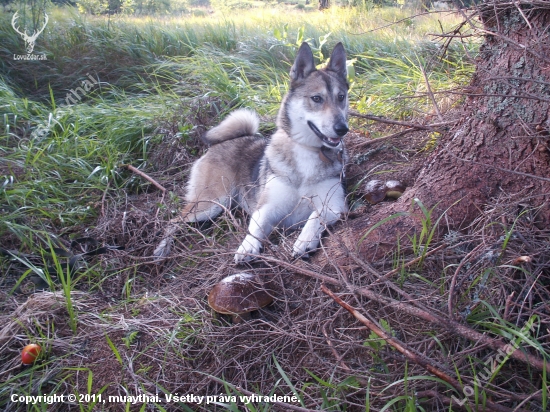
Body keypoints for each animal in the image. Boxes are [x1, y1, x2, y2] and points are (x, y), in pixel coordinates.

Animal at [155, 41, 352, 260]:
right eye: (316, 98)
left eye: (341, 97)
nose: (342, 128)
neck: (306, 151)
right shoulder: (266, 207)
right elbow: (255, 227)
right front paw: (247, 246)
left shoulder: (335, 206)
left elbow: (315, 216)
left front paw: (304, 240)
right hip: (210, 202)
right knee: (174, 221)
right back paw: (162, 248)